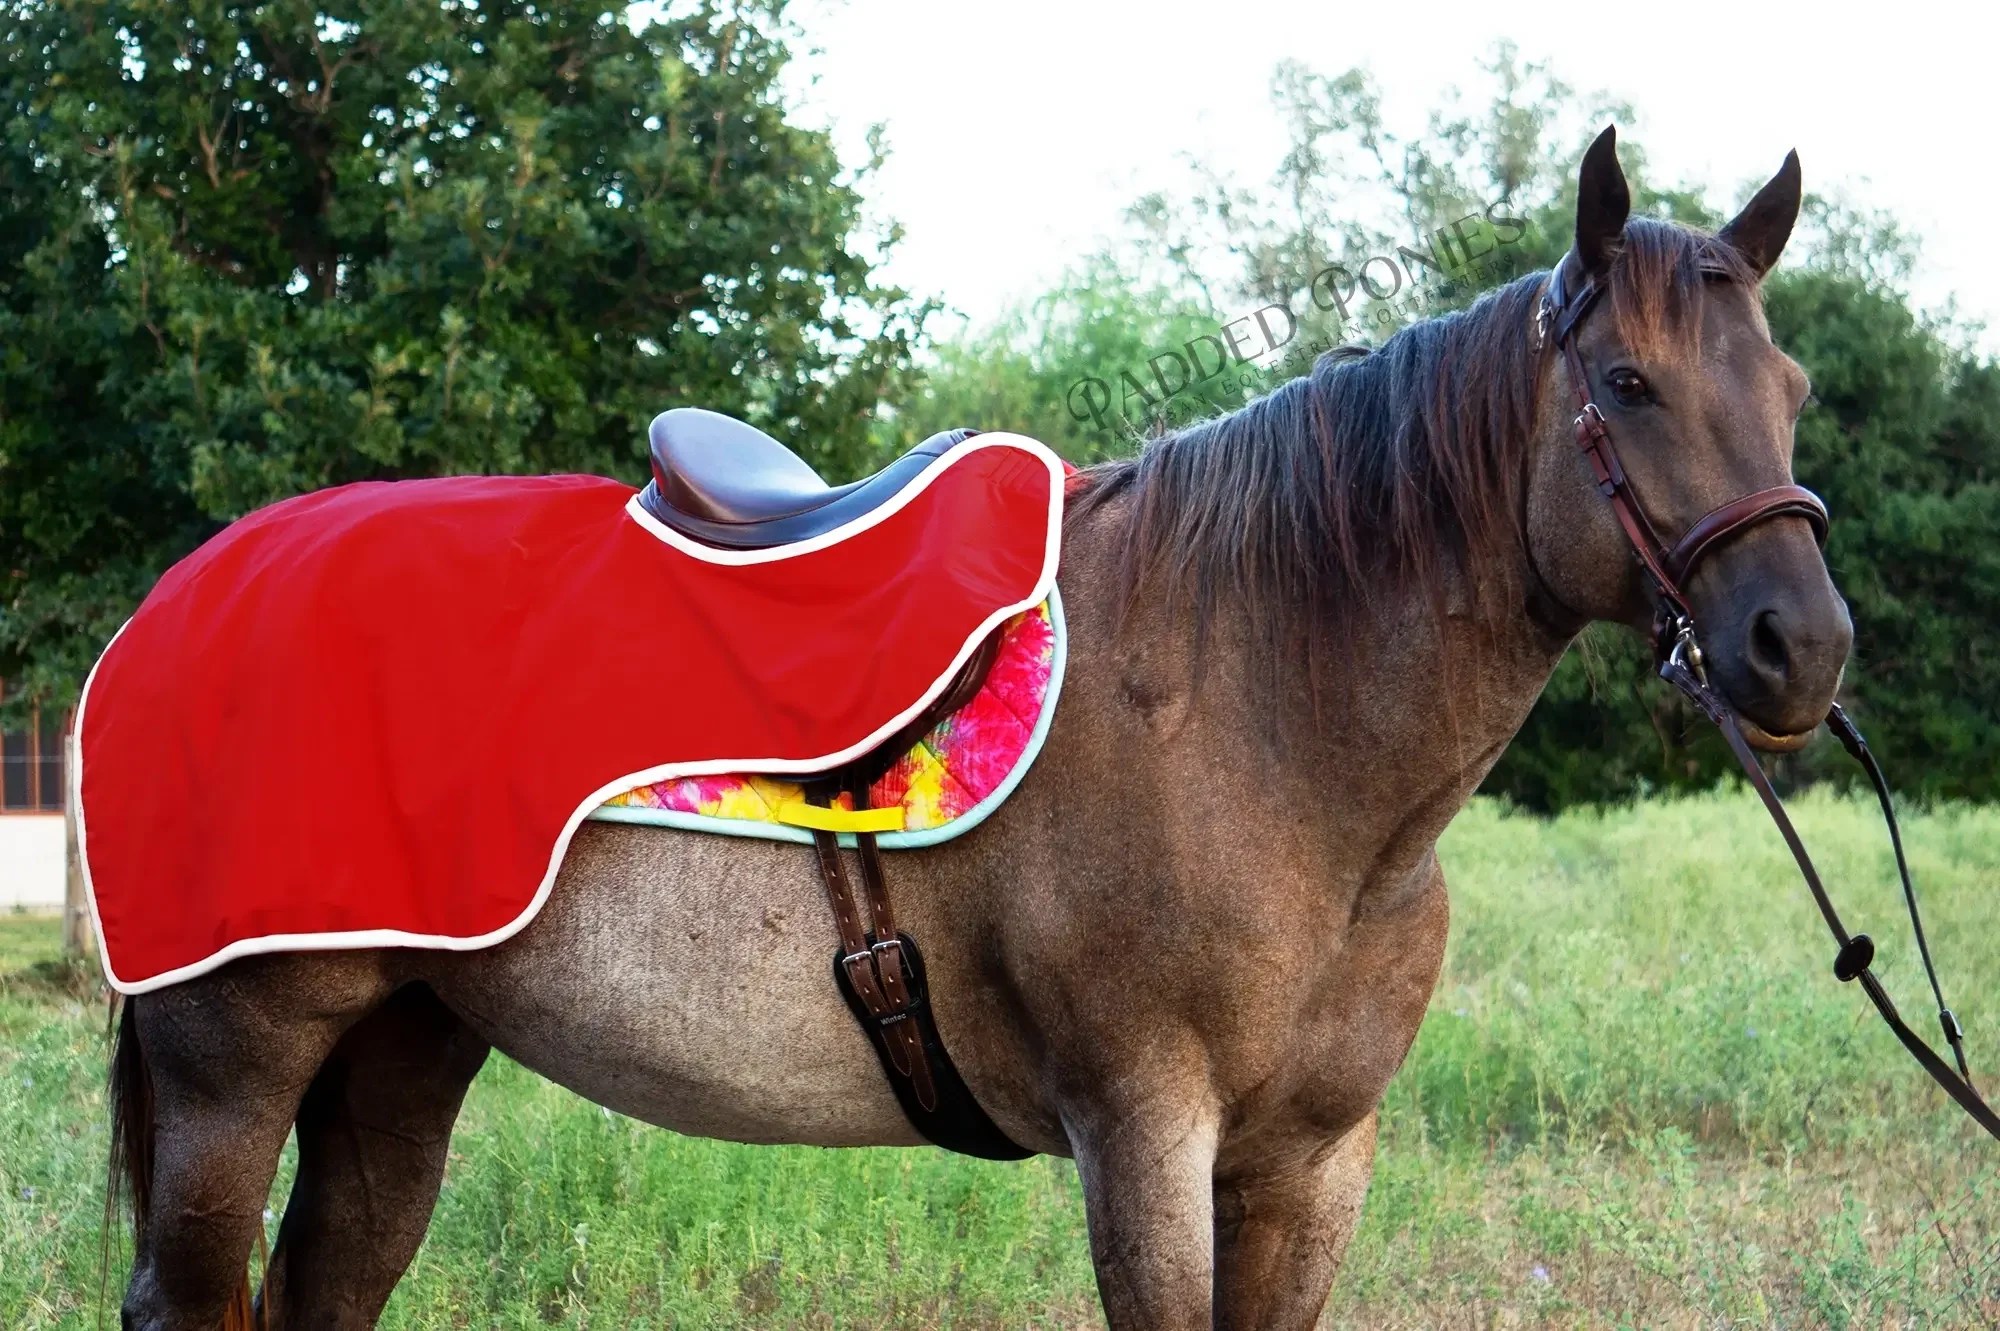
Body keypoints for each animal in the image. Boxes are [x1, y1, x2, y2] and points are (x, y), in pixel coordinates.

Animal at [104, 126, 1850, 1330]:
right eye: (1624, 384)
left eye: (1794, 386)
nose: (1803, 643)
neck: (1258, 713)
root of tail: (193, 587)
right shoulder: (1143, 1130)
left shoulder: (1314, 1160)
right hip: (230, 1065)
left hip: (403, 1046)